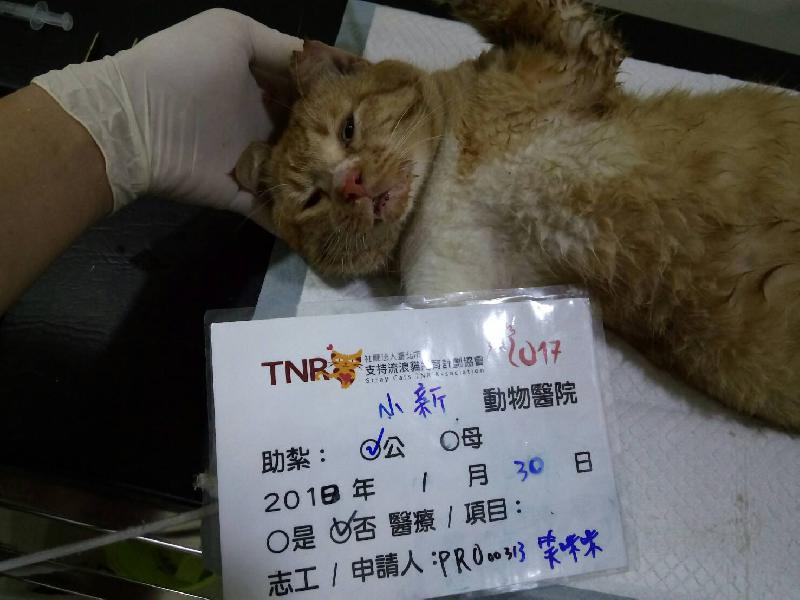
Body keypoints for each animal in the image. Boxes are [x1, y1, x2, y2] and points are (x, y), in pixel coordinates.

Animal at [236, 0, 800, 431]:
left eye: (348, 129)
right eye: (314, 199)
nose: (349, 184)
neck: (441, 174)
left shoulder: (570, 50)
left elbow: (504, 6)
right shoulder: (455, 289)